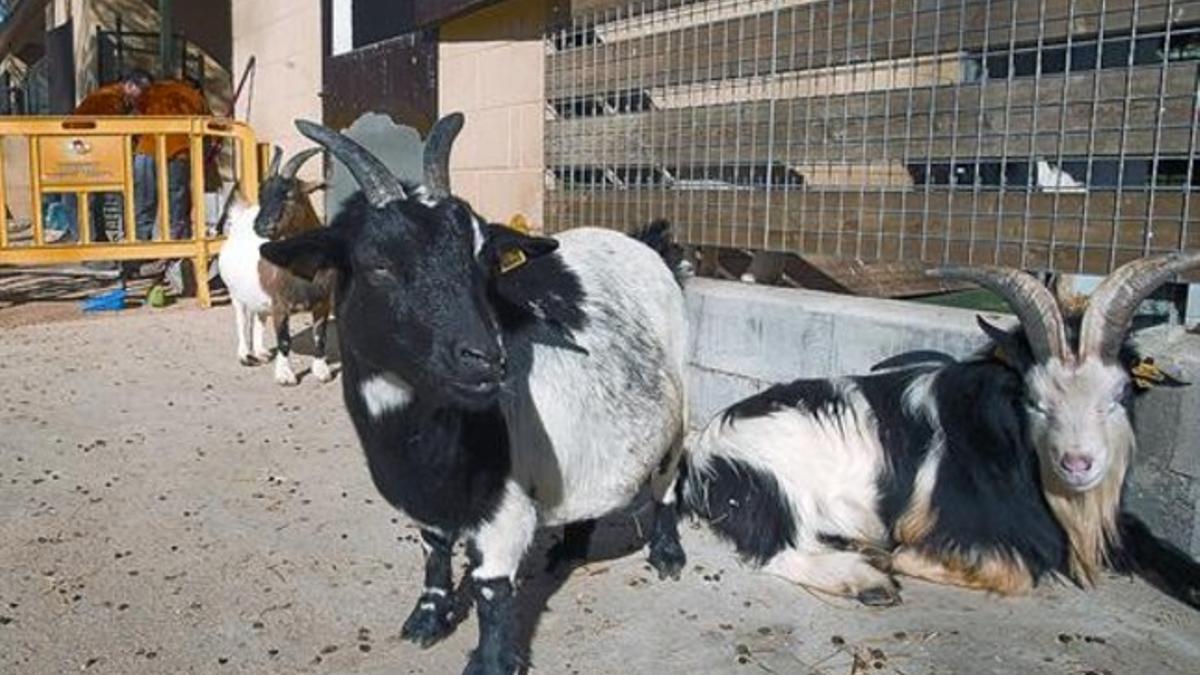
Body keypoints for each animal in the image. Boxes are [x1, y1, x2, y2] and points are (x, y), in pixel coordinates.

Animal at [217, 147, 336, 384]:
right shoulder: (281, 305)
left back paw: (261, 351)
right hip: (235, 292)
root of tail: (240, 217)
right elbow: (284, 340)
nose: (262, 226)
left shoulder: (323, 302)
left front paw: (321, 371)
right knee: (242, 320)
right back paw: (246, 355)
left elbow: (321, 336)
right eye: (262, 195)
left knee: (259, 316)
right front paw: (285, 375)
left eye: (289, 194)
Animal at [260, 112, 696, 667]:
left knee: (671, 478)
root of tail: (648, 244)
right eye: (378, 264)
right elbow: (433, 553)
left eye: (485, 260)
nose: (485, 358)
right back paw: (571, 548)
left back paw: (667, 553)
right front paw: (426, 620)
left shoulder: (504, 509)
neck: (417, 447)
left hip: (677, 406)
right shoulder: (427, 502)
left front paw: (490, 662)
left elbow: (492, 587)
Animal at [686, 253, 1200, 610]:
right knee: (775, 549)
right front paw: (896, 559)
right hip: (778, 486)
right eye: (1034, 400)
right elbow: (1012, 571)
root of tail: (707, 447)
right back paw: (868, 580)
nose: (1078, 463)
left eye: (1118, 394)